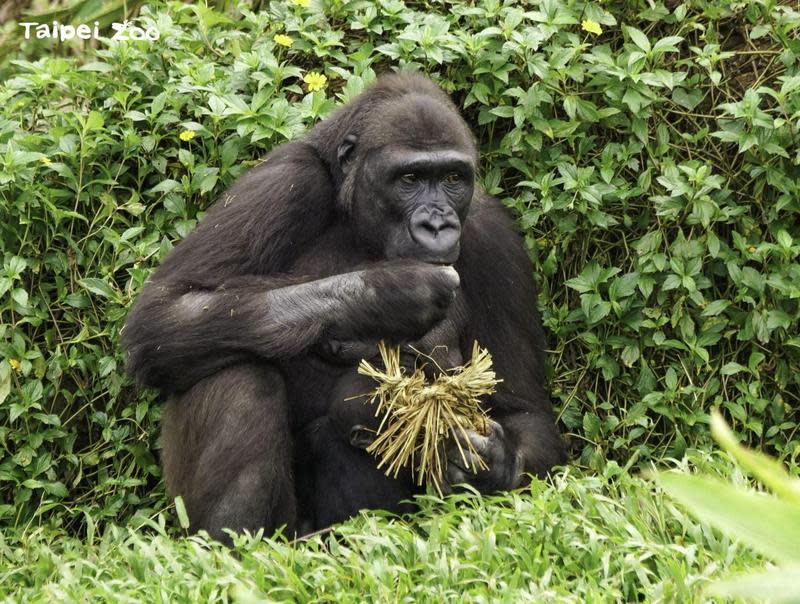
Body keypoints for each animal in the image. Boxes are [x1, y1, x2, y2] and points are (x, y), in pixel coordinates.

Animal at [122, 72, 564, 544]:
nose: (437, 224)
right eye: (409, 179)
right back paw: (234, 547)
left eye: (452, 177)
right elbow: (165, 310)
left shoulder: (494, 236)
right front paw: (386, 294)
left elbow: (525, 412)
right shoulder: (289, 179)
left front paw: (490, 460)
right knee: (234, 371)